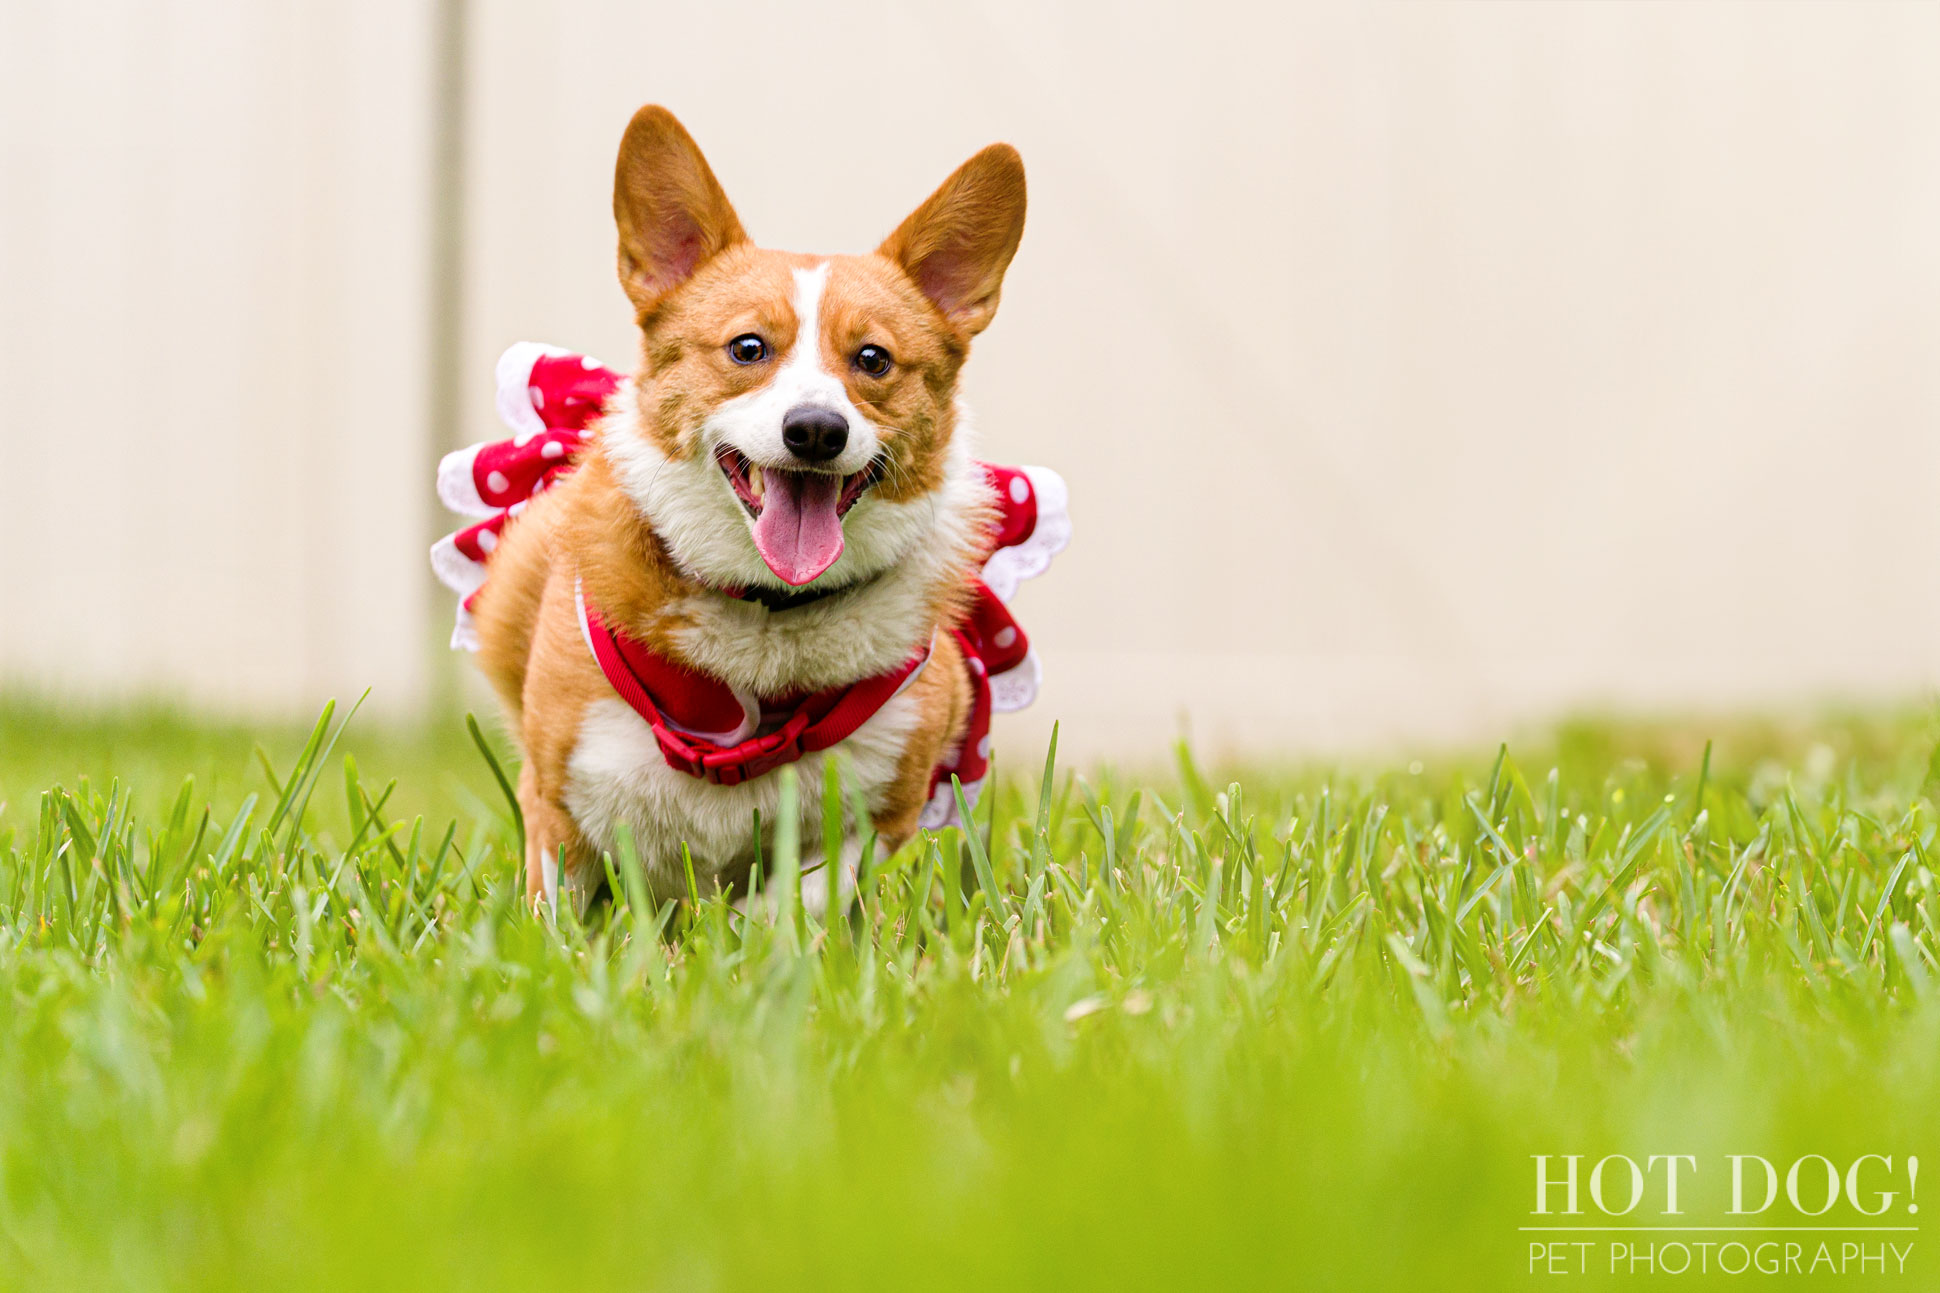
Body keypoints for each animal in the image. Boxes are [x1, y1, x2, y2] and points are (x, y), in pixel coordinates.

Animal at [432, 105, 1070, 912]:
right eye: (747, 348)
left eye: (873, 360)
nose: (816, 431)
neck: (771, 609)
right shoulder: (560, 801)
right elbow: (558, 914)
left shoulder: (870, 818)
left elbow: (787, 909)